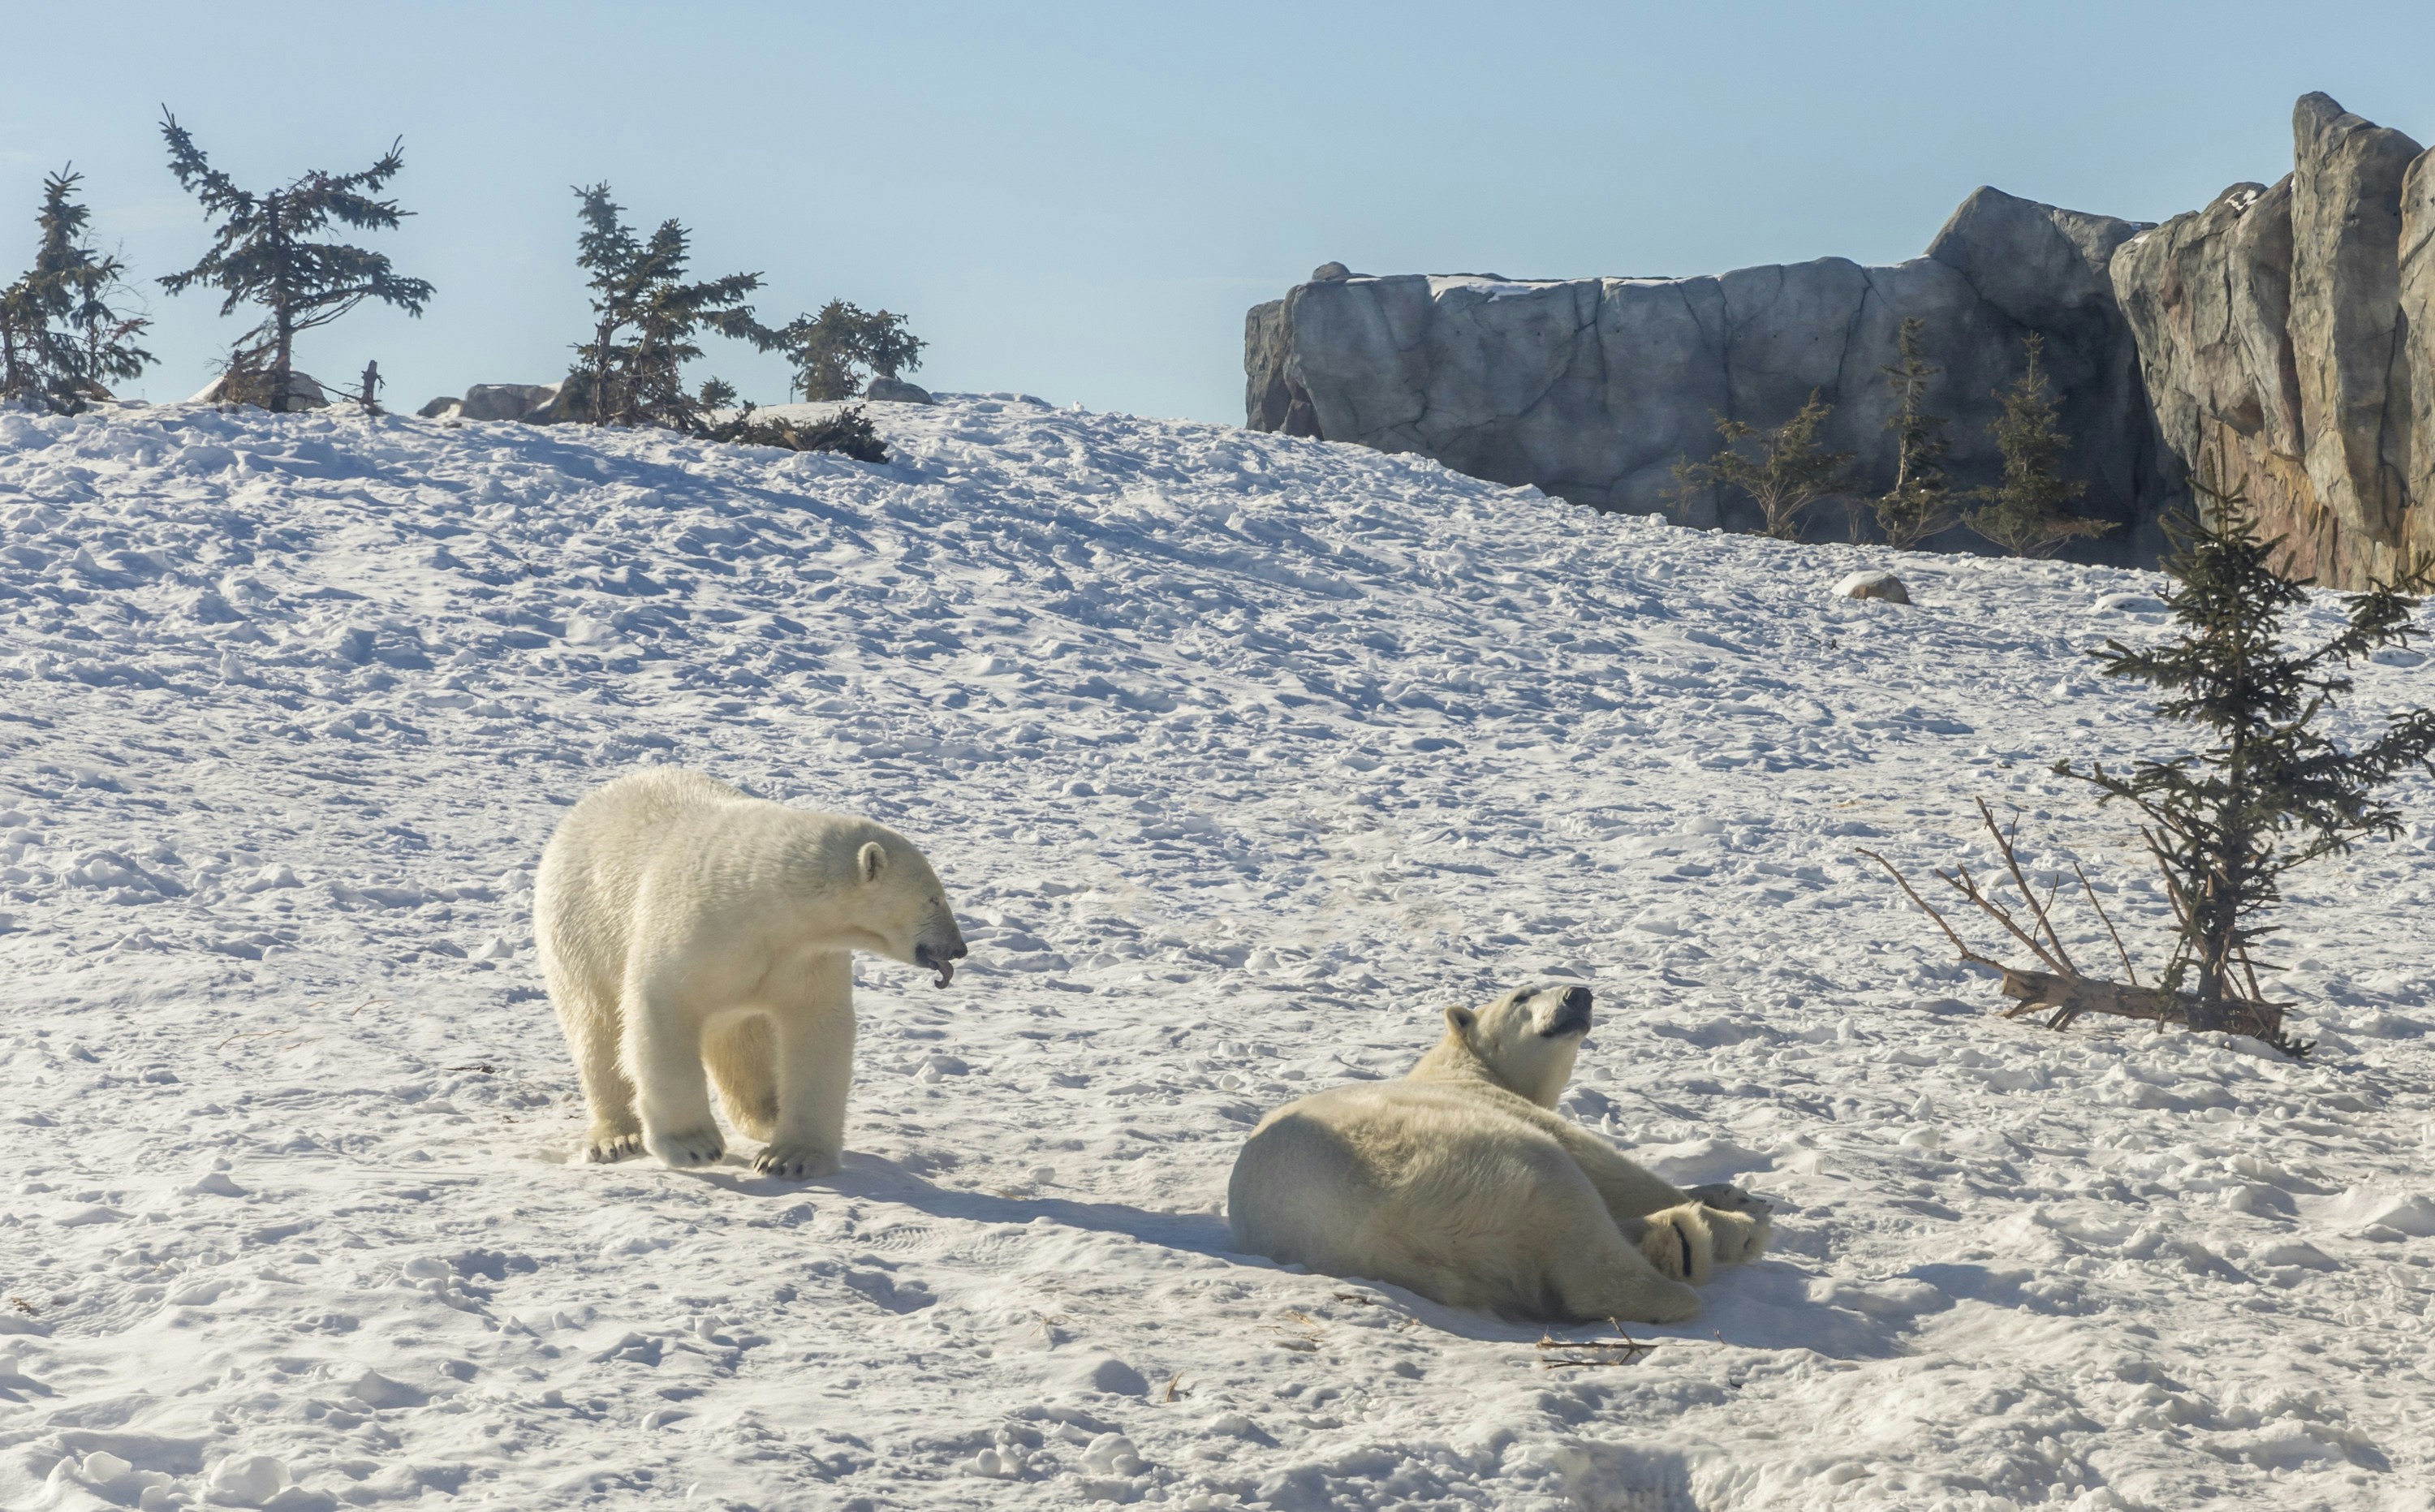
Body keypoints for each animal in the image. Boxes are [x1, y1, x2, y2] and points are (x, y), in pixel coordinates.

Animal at [538, 765, 964, 1178]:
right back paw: (617, 1137)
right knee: (597, 1030)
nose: (958, 948)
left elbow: (818, 1026)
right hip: (581, 932)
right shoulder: (693, 930)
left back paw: (767, 1116)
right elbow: (662, 1012)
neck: (763, 899)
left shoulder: (804, 956)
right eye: (934, 898)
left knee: (742, 1041)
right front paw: (694, 1146)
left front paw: (792, 1158)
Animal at [1237, 979, 1773, 1325]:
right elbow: (1608, 1166)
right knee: (1581, 1237)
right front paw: (1743, 1210)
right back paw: (1690, 1252)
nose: (1578, 995)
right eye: (1521, 996)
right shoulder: (1496, 1105)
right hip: (1474, 1163)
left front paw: (1730, 1195)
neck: (1461, 1066)